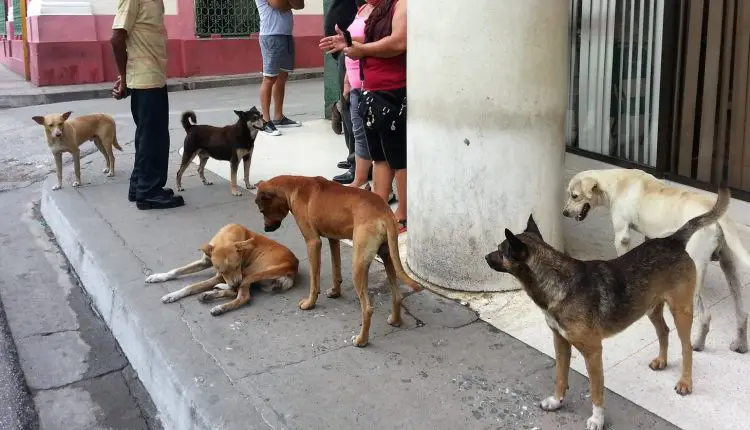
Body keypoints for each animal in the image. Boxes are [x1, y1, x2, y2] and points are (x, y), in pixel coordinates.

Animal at [145, 223, 298, 314]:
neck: (225, 238)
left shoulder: (225, 275)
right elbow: (176, 270)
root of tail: (291, 266)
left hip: (250, 273)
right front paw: (159, 276)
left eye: (238, 265)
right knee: (234, 292)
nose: (236, 282)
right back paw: (209, 295)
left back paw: (220, 306)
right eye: (224, 271)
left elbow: (191, 287)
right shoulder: (206, 262)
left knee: (242, 296)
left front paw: (172, 295)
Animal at [256, 175, 424, 346]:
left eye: (262, 210)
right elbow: (336, 269)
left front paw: (310, 303)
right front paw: (335, 292)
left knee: (367, 308)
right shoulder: (333, 239)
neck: (294, 186)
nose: (266, 229)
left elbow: (314, 281)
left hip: (358, 265)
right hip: (388, 257)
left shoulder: (313, 243)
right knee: (397, 294)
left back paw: (361, 340)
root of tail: (385, 213)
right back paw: (395, 321)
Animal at [484, 185, 732, 430]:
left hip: (681, 310)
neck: (558, 280)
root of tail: (673, 240)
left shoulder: (593, 352)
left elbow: (596, 390)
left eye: (500, 250)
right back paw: (662, 361)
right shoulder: (561, 343)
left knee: (686, 347)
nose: (485, 256)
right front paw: (556, 400)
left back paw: (685, 382)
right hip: (651, 307)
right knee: (663, 331)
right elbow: (560, 375)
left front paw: (597, 419)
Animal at [568, 168, 748, 352]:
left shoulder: (621, 236)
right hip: (729, 264)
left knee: (705, 316)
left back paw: (697, 344)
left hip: (696, 267)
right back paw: (740, 344)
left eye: (574, 196)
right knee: (742, 313)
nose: (564, 213)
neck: (614, 182)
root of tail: (720, 218)